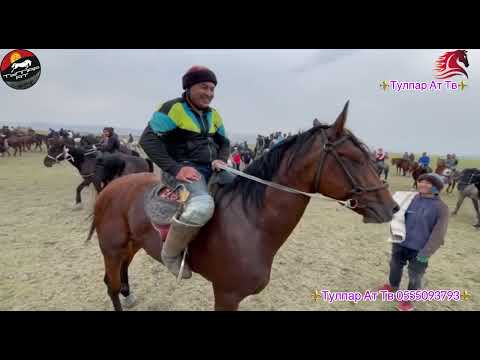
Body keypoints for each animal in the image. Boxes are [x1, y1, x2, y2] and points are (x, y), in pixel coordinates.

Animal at [85, 102, 398, 310]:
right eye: (351, 158)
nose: (391, 207)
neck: (251, 222)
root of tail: (110, 187)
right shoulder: (226, 295)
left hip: (130, 245)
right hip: (111, 249)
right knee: (111, 285)